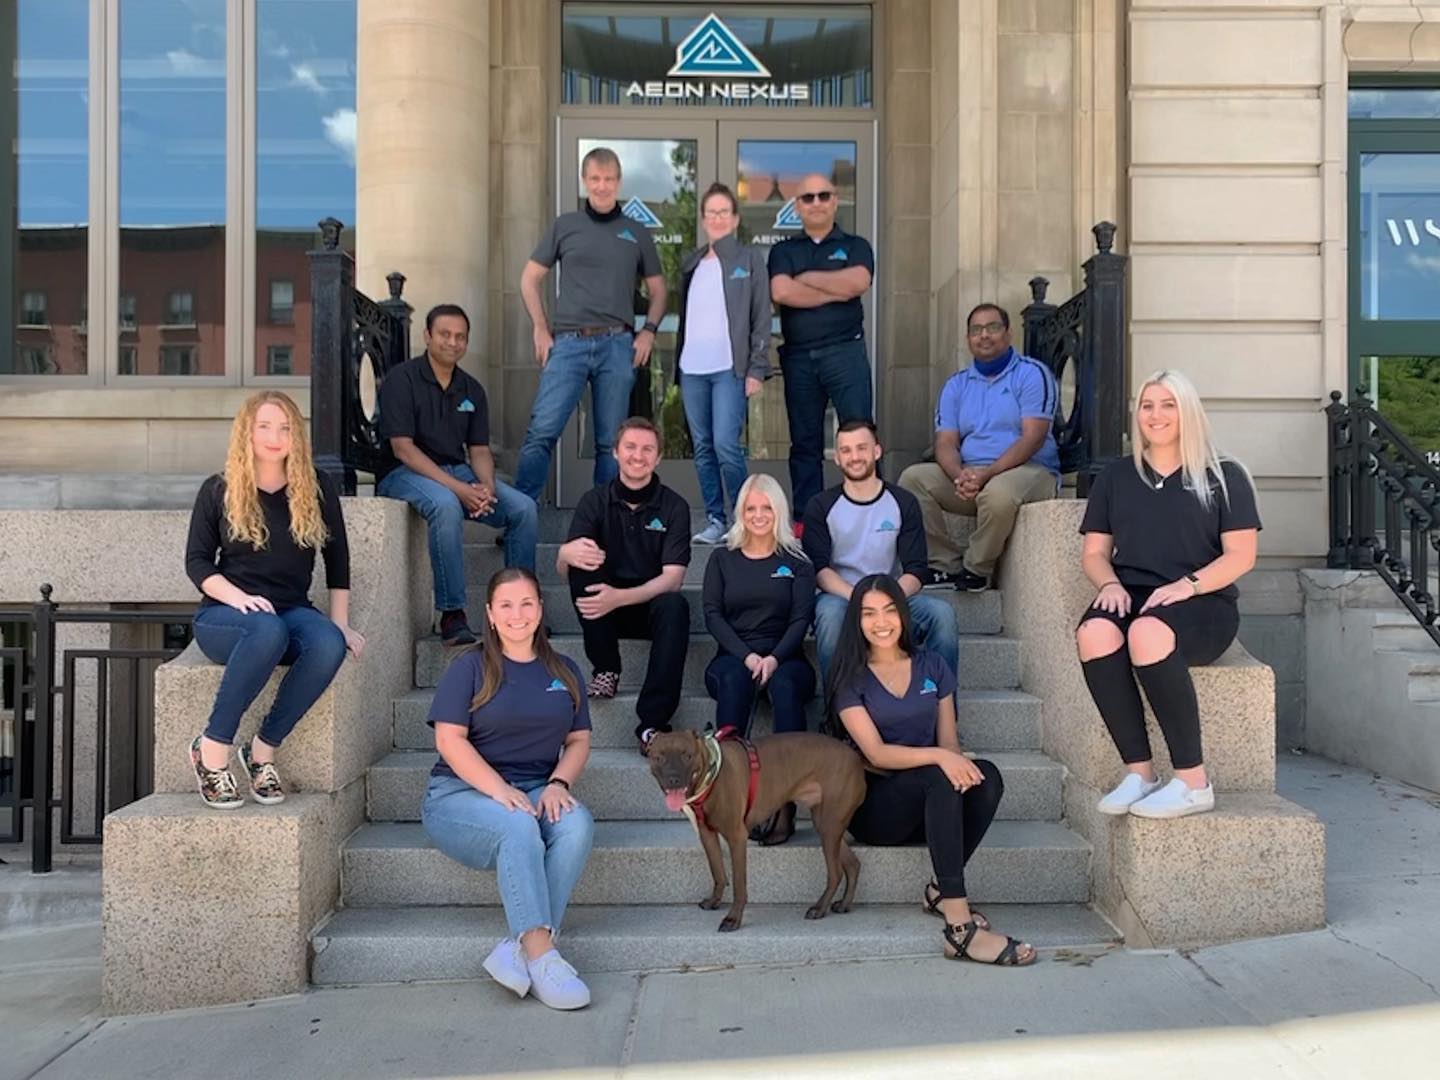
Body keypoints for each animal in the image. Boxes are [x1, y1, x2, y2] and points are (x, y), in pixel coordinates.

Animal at [645, 731, 864, 933]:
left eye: (687, 755)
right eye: (659, 757)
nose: (673, 779)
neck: (709, 775)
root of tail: (855, 756)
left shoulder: (736, 837)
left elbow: (738, 885)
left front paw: (733, 919)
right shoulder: (707, 834)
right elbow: (718, 872)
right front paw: (715, 901)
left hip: (829, 825)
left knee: (835, 873)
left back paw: (819, 908)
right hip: (827, 825)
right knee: (853, 864)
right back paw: (844, 904)